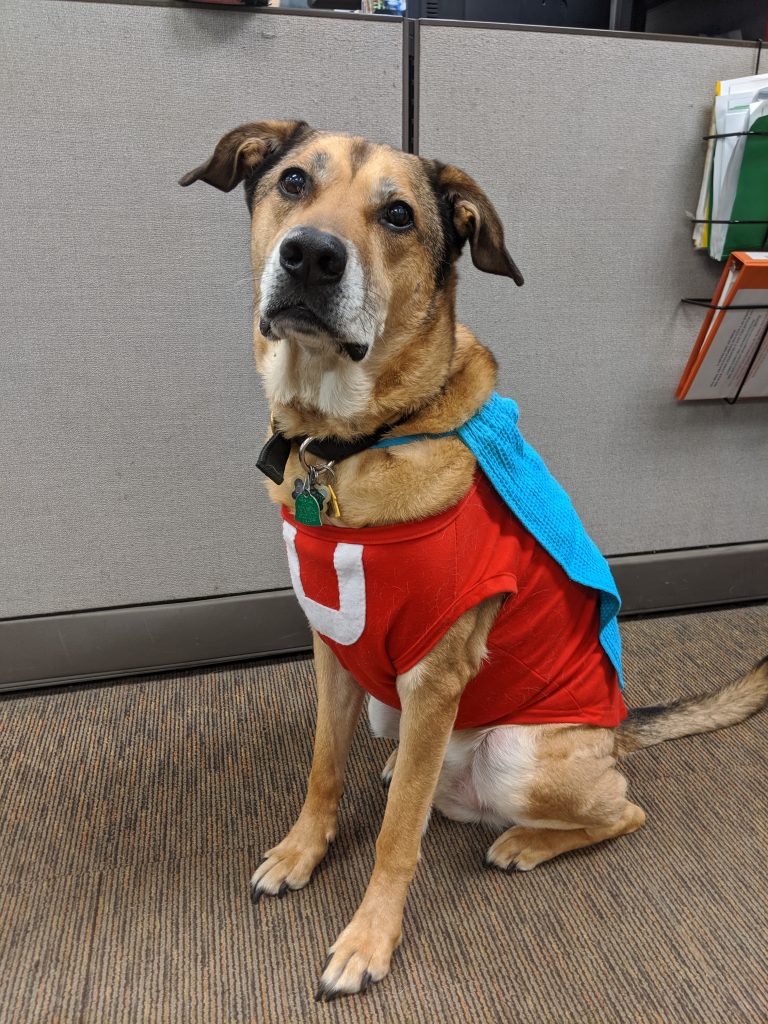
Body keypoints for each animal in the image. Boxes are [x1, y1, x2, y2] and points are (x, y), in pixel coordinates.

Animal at [180, 121, 768, 999]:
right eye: (292, 182)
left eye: (397, 214)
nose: (310, 256)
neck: (353, 443)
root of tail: (619, 731)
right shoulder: (333, 650)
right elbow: (323, 769)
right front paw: (300, 852)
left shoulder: (434, 675)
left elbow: (396, 840)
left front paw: (368, 940)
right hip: (395, 711)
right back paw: (401, 773)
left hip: (518, 755)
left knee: (621, 809)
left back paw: (523, 839)